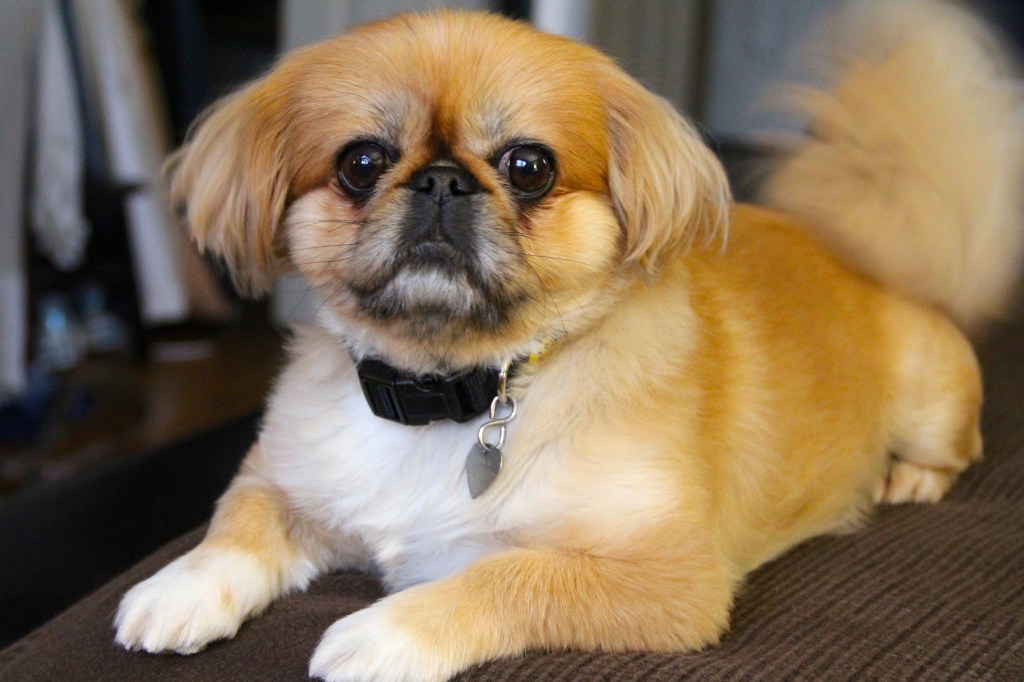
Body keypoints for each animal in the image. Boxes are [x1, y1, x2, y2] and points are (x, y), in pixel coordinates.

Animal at [112, 2, 1024, 675]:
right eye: (361, 164)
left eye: (528, 167)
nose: (440, 180)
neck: (455, 388)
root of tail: (849, 252)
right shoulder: (286, 473)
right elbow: (240, 518)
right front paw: (182, 586)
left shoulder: (670, 579)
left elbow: (509, 573)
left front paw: (384, 632)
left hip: (932, 398)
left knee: (957, 447)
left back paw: (908, 478)